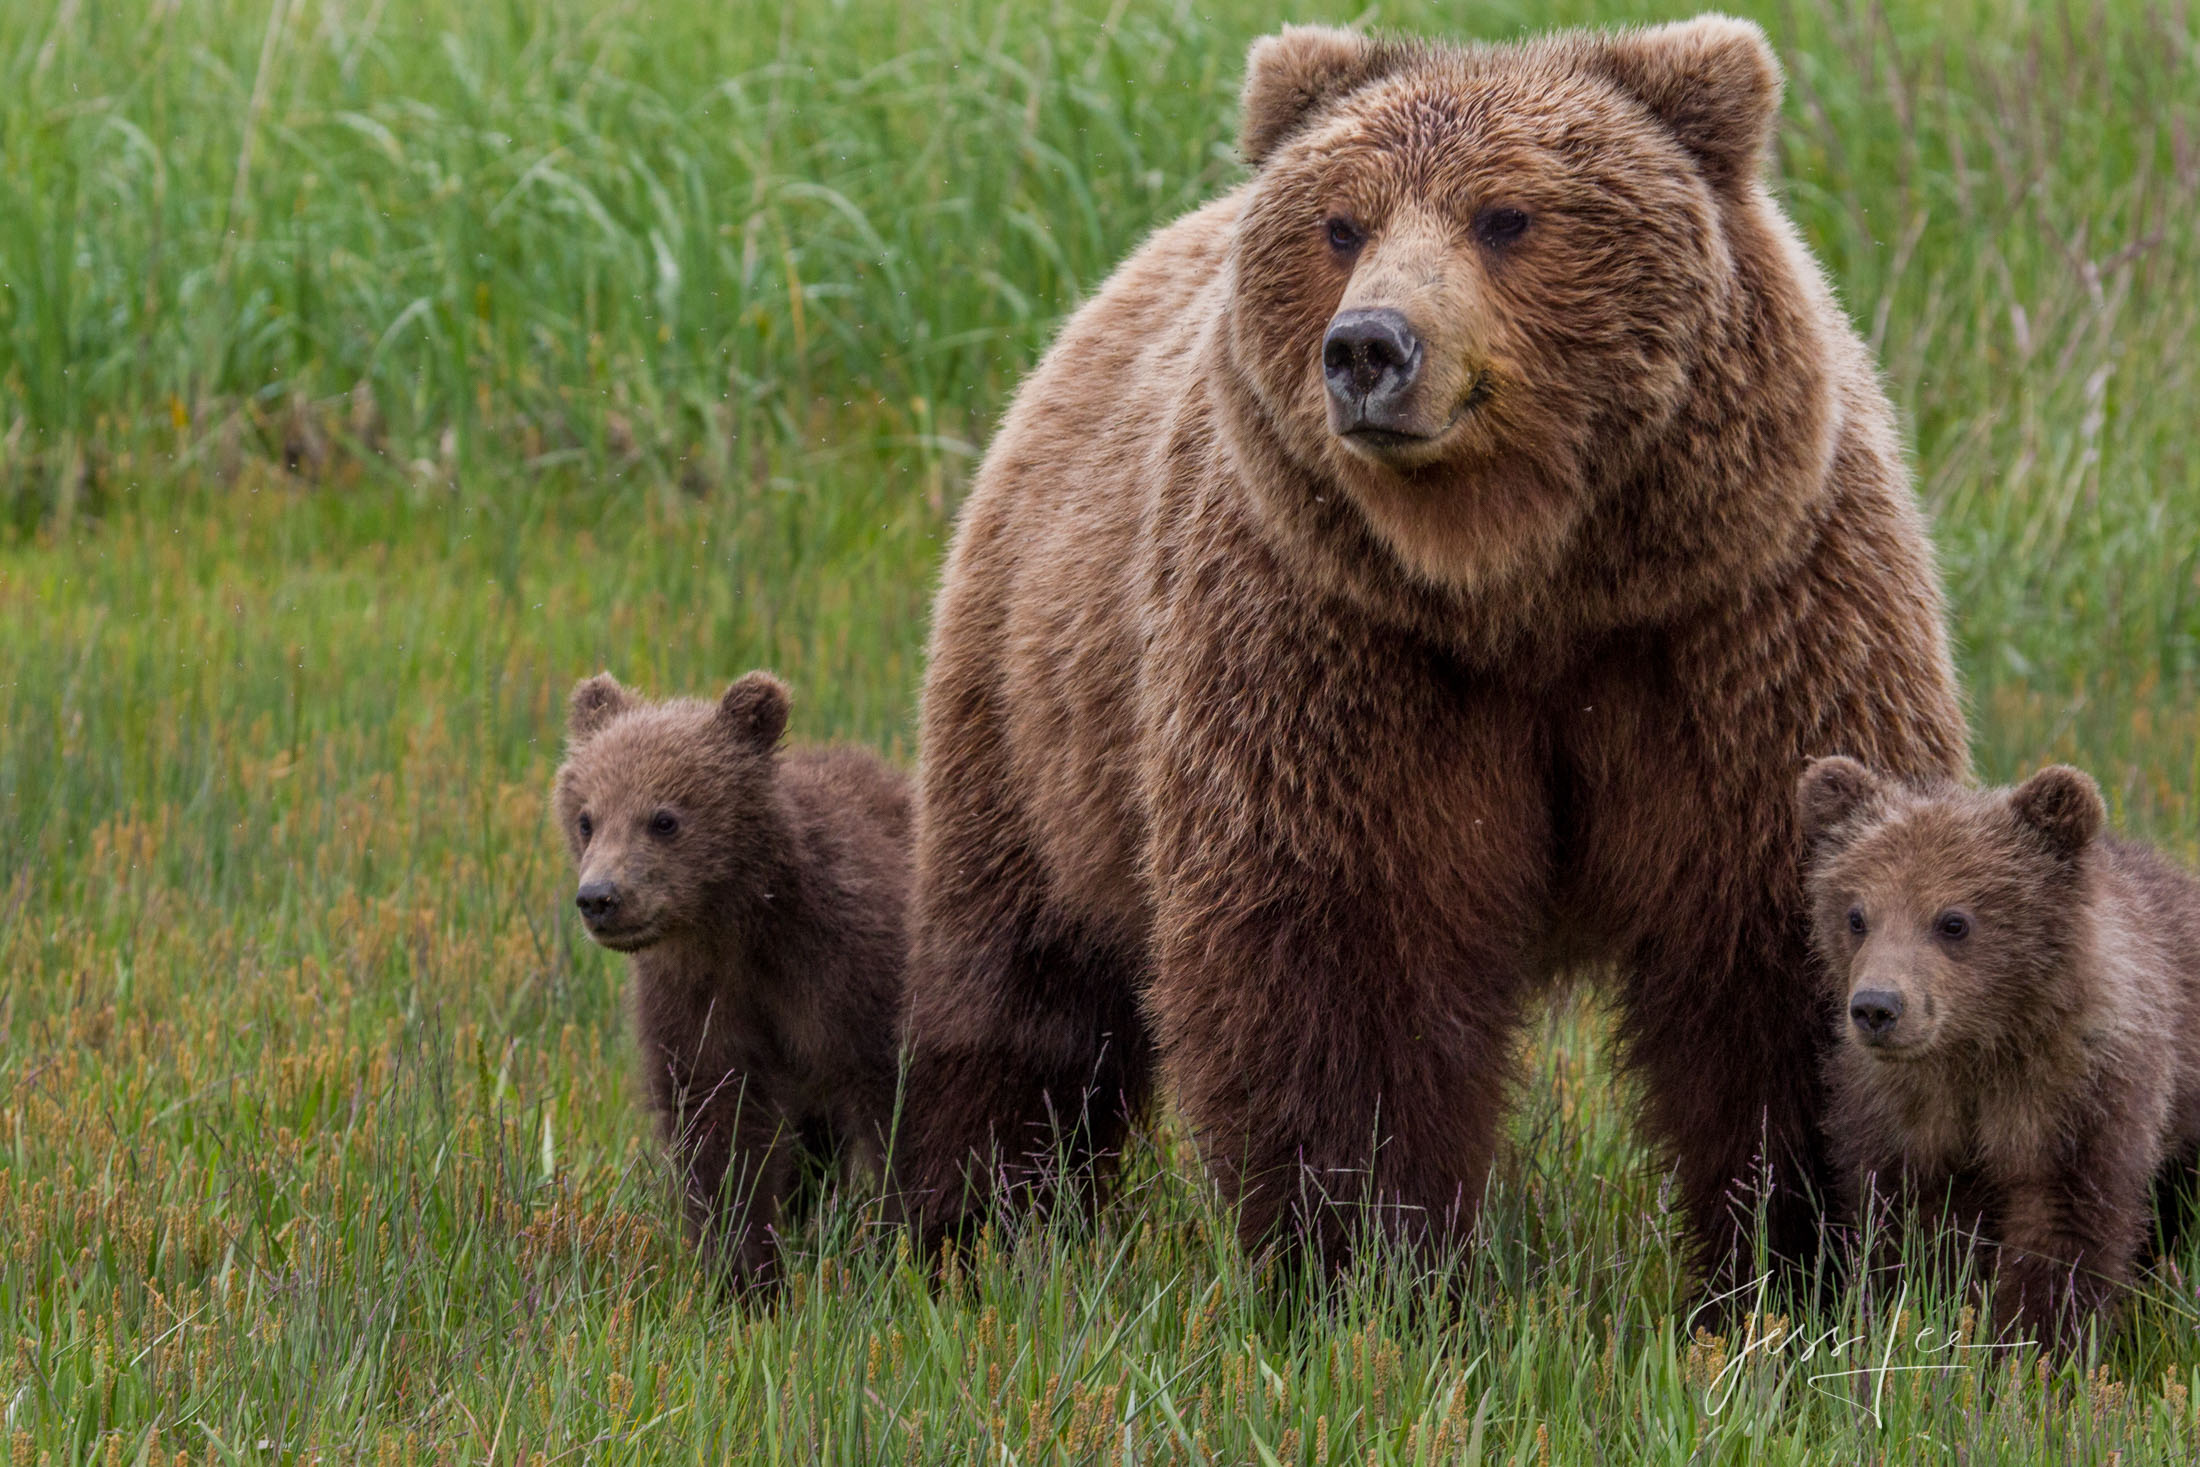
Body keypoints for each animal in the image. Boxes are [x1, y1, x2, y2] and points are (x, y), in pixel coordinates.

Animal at [893, 14, 1962, 1284]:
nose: (1366, 346)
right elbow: (1344, 967)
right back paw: (980, 1226)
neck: (1523, 585)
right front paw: (1368, 1263)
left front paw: (1799, 1254)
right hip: (1035, 700)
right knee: (1020, 981)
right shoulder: (1337, 651)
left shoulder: (1742, 628)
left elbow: (1778, 943)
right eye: (1340, 224)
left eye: (1506, 216)